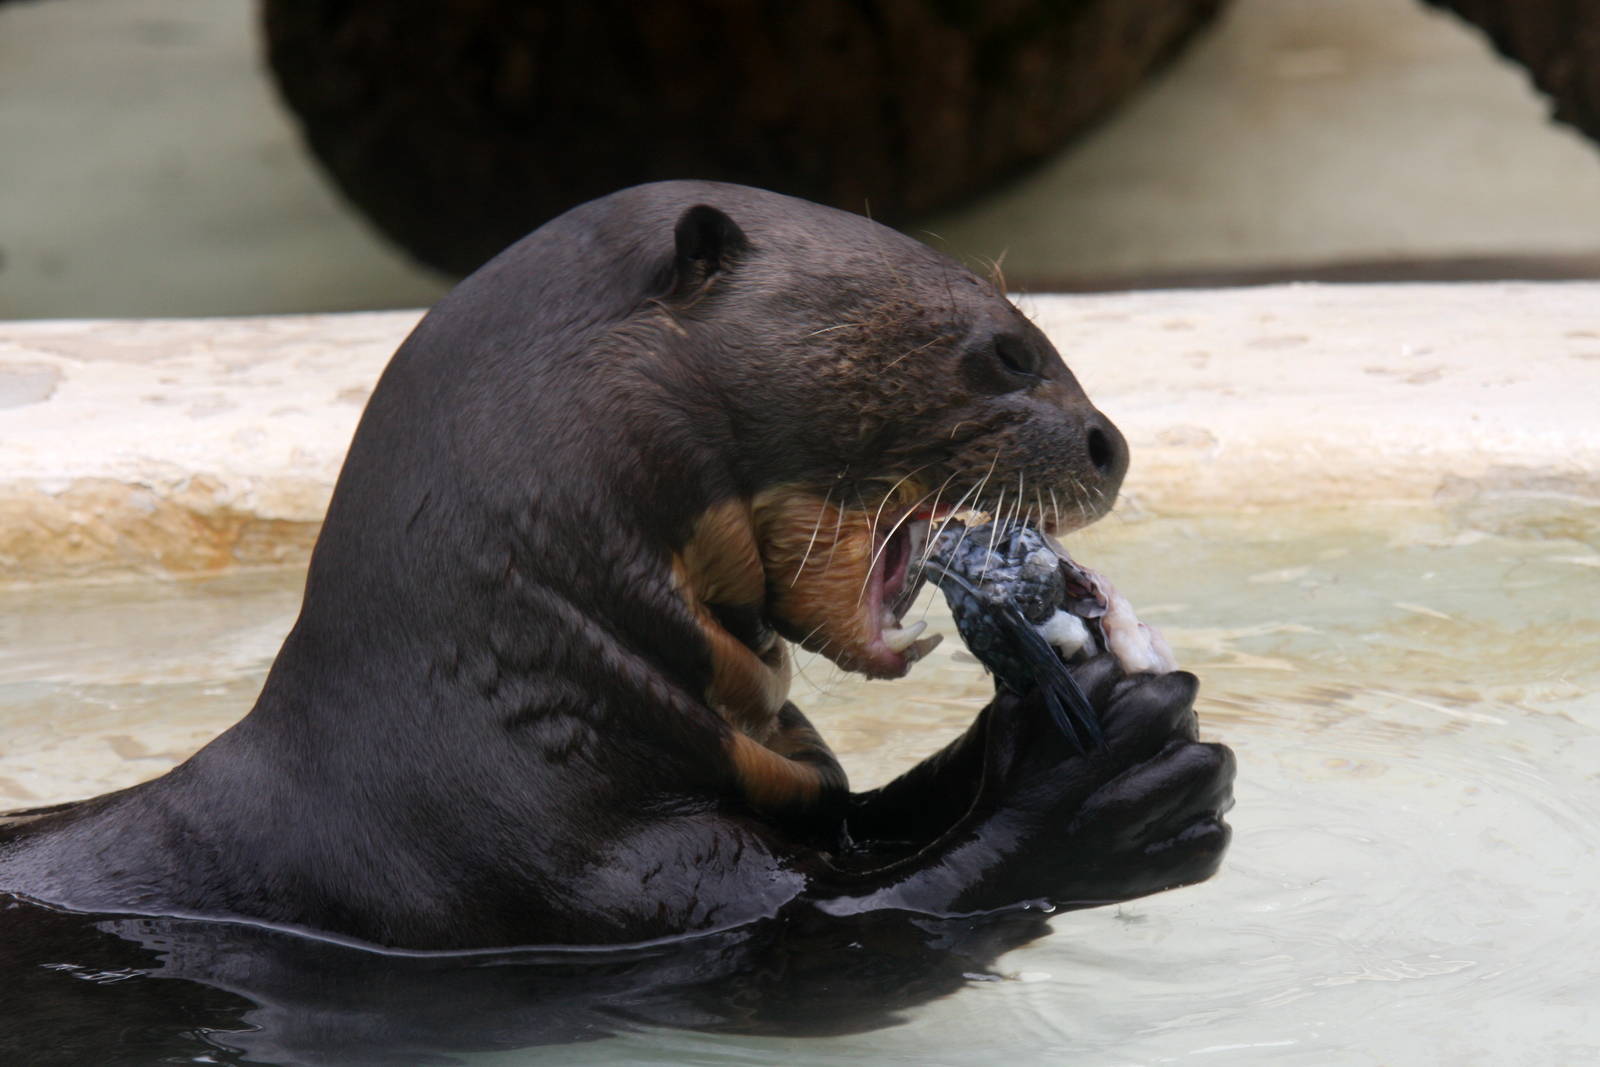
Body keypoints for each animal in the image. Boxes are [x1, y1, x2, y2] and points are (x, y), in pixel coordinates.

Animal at [0, 181, 1233, 950]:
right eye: (1007, 351)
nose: (1111, 443)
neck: (506, 710)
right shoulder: (595, 885)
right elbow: (877, 916)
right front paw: (1097, 779)